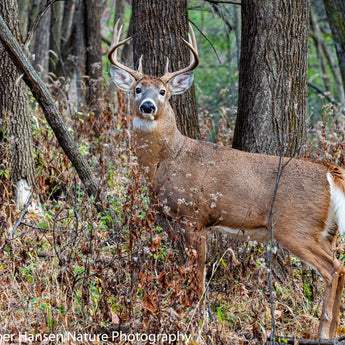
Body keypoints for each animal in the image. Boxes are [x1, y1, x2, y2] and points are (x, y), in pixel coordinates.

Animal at [109, 19, 344, 338]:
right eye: (137, 89)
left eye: (163, 91)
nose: (147, 106)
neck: (167, 159)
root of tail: (330, 172)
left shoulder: (193, 216)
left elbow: (197, 274)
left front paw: (196, 321)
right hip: (327, 232)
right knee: (339, 267)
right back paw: (331, 330)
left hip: (296, 227)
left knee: (333, 269)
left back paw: (323, 332)